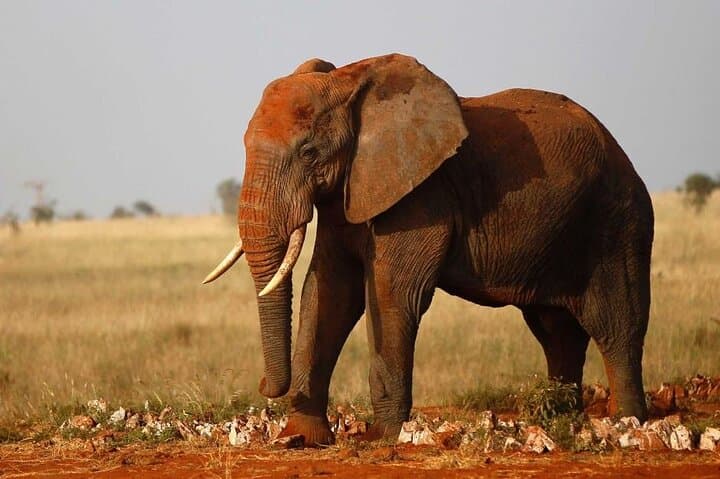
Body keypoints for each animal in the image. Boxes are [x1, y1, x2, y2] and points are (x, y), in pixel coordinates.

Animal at [204, 54, 654, 445]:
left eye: (308, 152)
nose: (264, 385)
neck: (350, 82)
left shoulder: (420, 195)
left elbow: (392, 293)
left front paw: (386, 437)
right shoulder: (347, 194)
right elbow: (329, 291)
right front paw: (302, 437)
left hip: (617, 222)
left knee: (616, 324)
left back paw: (627, 422)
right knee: (557, 331)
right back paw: (561, 417)